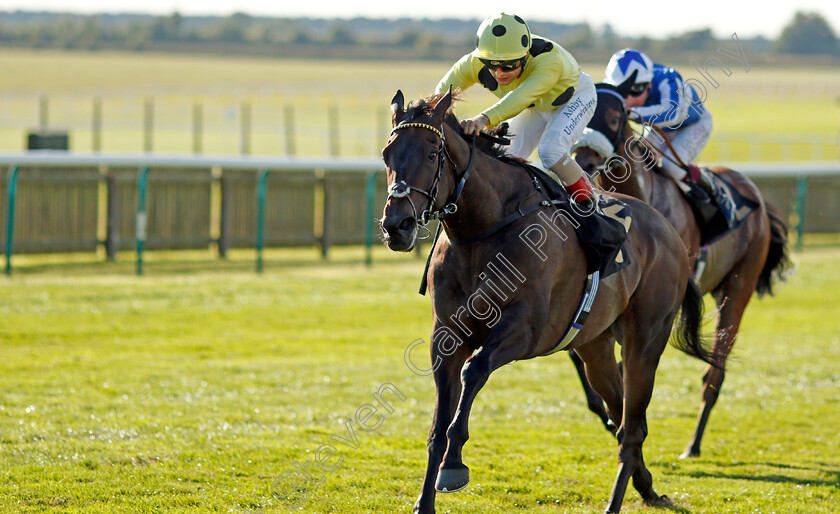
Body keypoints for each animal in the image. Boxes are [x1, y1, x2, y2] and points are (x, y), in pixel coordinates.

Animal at [380, 89, 716, 512]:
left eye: (430, 153)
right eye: (387, 155)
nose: (397, 225)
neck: (483, 229)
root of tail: (671, 233)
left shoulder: (525, 330)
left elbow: (475, 370)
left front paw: (454, 465)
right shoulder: (446, 336)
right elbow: (439, 422)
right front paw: (425, 500)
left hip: (645, 340)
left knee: (633, 424)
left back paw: (617, 500)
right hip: (595, 347)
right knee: (622, 414)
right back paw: (647, 486)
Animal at [576, 82, 792, 458]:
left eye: (615, 117)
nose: (583, 160)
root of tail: (756, 197)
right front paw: (608, 415)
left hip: (738, 290)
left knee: (715, 373)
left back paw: (693, 444)